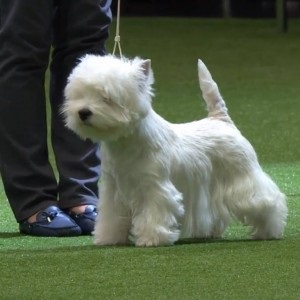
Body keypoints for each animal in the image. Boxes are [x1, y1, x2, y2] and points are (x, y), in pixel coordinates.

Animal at [62, 54, 288, 246]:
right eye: (80, 95)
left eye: (106, 98)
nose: (83, 112)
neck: (124, 143)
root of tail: (221, 120)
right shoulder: (113, 189)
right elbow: (111, 216)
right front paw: (108, 238)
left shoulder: (154, 186)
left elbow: (154, 212)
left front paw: (151, 239)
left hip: (242, 177)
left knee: (267, 200)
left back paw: (269, 231)